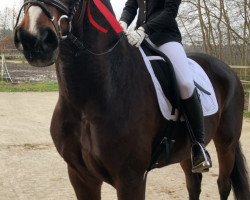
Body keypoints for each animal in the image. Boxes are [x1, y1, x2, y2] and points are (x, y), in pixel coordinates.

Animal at [14, 0, 249, 199]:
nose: (33, 38)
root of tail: (228, 70)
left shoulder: (131, 179)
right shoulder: (80, 175)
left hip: (226, 142)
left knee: (223, 184)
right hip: (185, 151)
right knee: (193, 183)